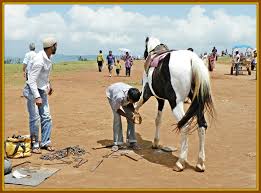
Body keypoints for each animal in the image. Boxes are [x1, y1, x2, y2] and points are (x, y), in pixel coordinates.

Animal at [135, 36, 214, 172]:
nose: (144, 54)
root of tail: (192, 59)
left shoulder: (146, 94)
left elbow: (136, 107)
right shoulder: (161, 100)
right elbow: (158, 120)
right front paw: (155, 142)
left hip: (176, 103)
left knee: (185, 126)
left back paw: (180, 162)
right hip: (198, 104)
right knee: (202, 125)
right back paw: (200, 162)